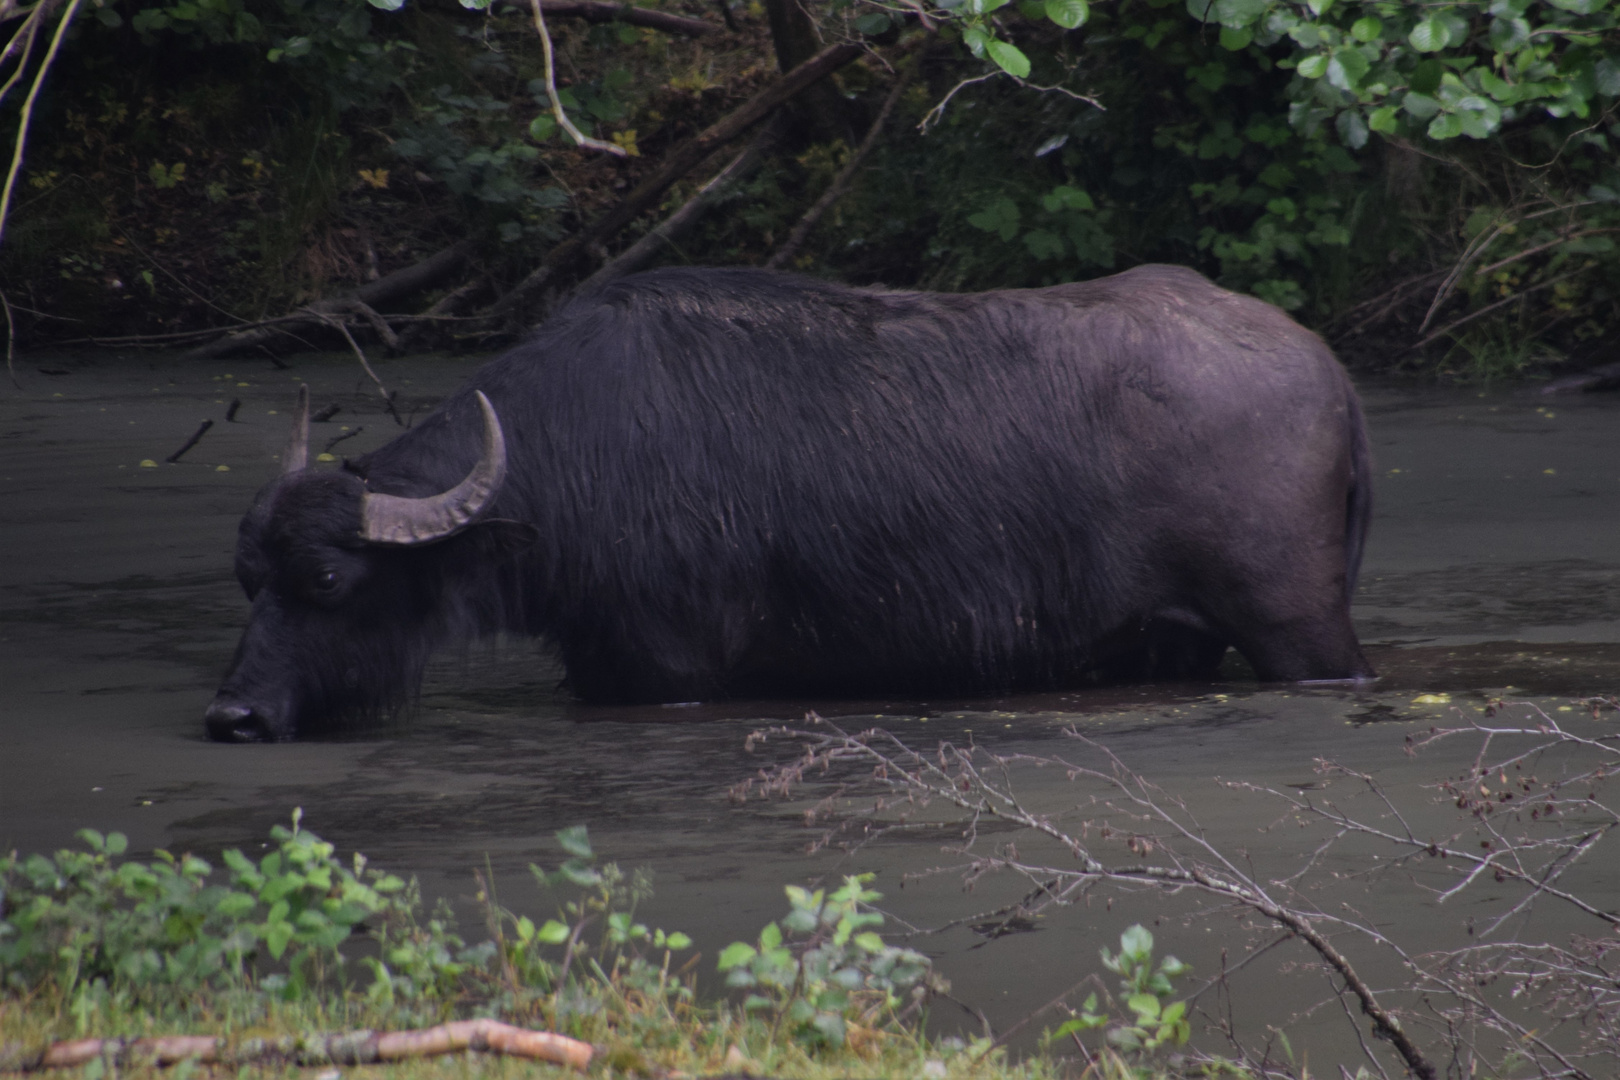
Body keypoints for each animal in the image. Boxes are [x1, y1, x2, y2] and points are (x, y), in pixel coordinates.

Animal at [199, 265, 1367, 744]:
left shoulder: (671, 671)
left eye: (329, 578)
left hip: (1299, 629)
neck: (583, 452)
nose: (233, 716)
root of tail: (1324, 363)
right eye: (248, 580)